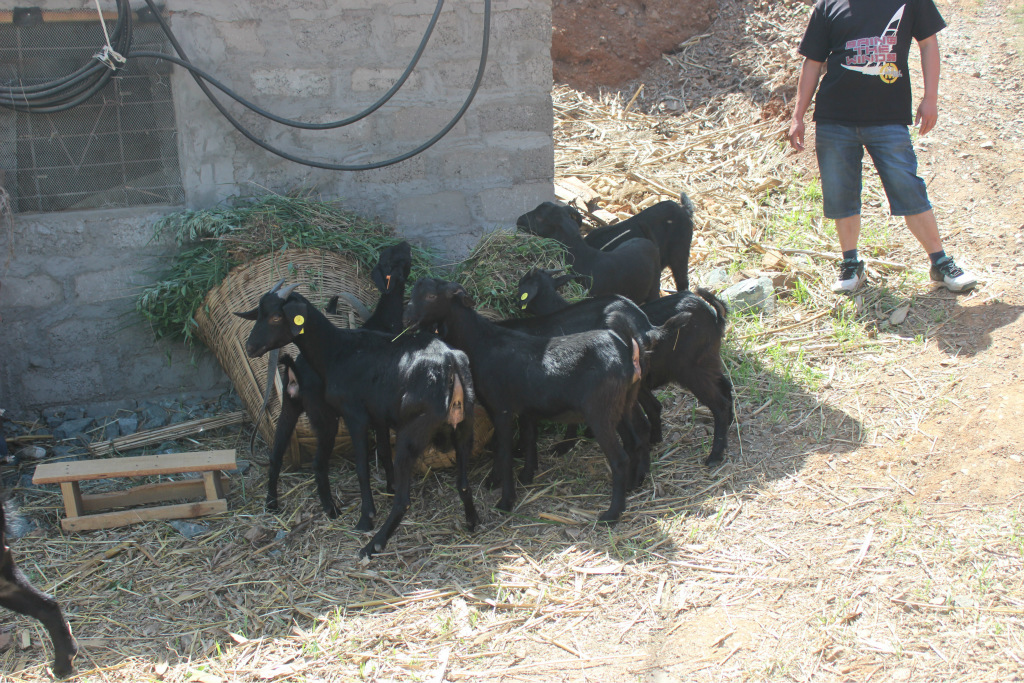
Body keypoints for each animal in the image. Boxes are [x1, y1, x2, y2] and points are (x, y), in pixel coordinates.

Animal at [234, 280, 473, 557]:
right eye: (258, 314)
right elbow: (383, 454)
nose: (250, 347)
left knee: (402, 499)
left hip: (410, 431)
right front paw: (387, 488)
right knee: (463, 481)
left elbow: (362, 468)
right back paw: (473, 522)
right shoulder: (377, 416)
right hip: (463, 427)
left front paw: (366, 517)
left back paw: (372, 544)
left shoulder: (355, 415)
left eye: (275, 317)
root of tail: (451, 364)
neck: (338, 351)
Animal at [401, 278, 647, 524]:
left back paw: (612, 513)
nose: (407, 320)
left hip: (600, 411)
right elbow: (528, 438)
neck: (481, 342)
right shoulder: (524, 408)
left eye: (432, 296)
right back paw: (633, 485)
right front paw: (525, 476)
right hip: (623, 404)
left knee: (619, 458)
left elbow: (504, 451)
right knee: (634, 441)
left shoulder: (501, 408)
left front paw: (505, 500)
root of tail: (627, 354)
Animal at [520, 266, 737, 464]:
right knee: (726, 386)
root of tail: (714, 313)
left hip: (690, 369)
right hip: (708, 359)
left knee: (718, 403)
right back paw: (728, 424)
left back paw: (715, 454)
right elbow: (653, 407)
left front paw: (565, 445)